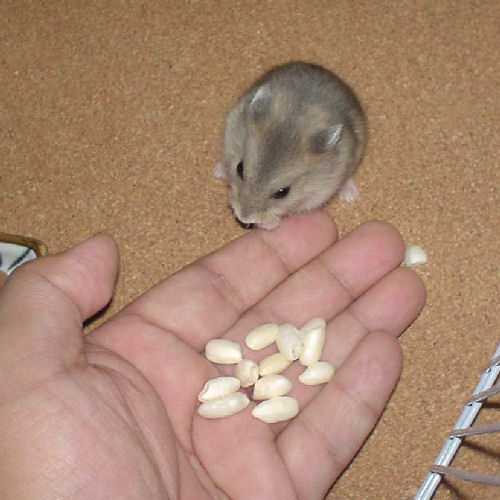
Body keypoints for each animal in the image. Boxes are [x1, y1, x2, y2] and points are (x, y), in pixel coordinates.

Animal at [214, 61, 366, 230]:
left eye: (283, 192)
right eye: (239, 168)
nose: (243, 217)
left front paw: (269, 224)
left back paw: (350, 196)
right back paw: (218, 171)